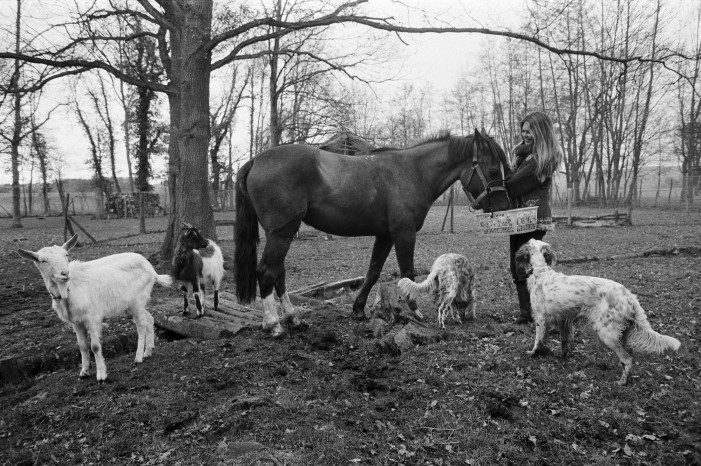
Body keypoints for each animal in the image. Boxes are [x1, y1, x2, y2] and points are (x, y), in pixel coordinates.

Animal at [18, 235, 172, 380]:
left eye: (66, 255)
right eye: (43, 261)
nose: (64, 273)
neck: (69, 289)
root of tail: (152, 269)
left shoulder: (92, 317)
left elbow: (95, 347)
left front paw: (101, 375)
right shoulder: (76, 322)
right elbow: (82, 346)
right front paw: (84, 372)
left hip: (137, 301)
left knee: (141, 326)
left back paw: (138, 357)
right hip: (132, 305)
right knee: (149, 319)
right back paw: (148, 351)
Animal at [232, 129, 512, 336]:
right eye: (492, 170)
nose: (504, 205)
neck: (412, 172)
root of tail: (256, 160)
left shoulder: (385, 236)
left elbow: (373, 272)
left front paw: (358, 309)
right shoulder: (403, 234)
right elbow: (408, 273)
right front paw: (414, 311)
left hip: (283, 234)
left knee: (278, 272)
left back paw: (292, 318)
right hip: (281, 233)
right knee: (267, 272)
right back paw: (274, 324)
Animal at [516, 240, 680, 386]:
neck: (540, 271)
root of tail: (629, 296)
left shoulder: (540, 319)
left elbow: (538, 340)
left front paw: (533, 353)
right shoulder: (565, 321)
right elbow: (565, 342)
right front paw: (562, 357)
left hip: (607, 333)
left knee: (627, 359)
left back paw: (621, 382)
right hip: (621, 333)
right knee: (629, 356)